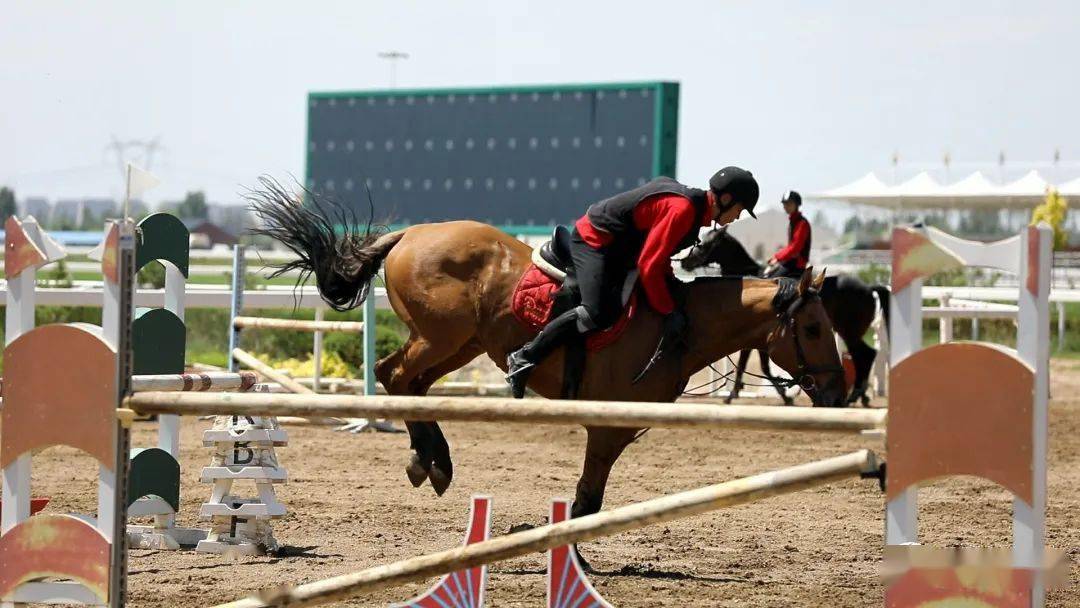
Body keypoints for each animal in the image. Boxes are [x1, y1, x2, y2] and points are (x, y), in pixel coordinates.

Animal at [248, 183, 846, 520]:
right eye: (816, 330)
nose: (840, 394)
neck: (684, 327)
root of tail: (407, 235)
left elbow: (590, 501)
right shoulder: (606, 428)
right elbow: (587, 503)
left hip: (462, 344)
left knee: (410, 383)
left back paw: (432, 459)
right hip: (442, 336)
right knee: (393, 375)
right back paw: (433, 460)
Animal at [682, 225, 885, 406]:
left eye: (704, 244)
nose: (684, 262)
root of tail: (869, 288)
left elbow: (753, 366)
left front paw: (734, 394)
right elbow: (759, 366)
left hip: (850, 333)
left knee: (864, 355)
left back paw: (856, 396)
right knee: (865, 355)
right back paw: (860, 397)